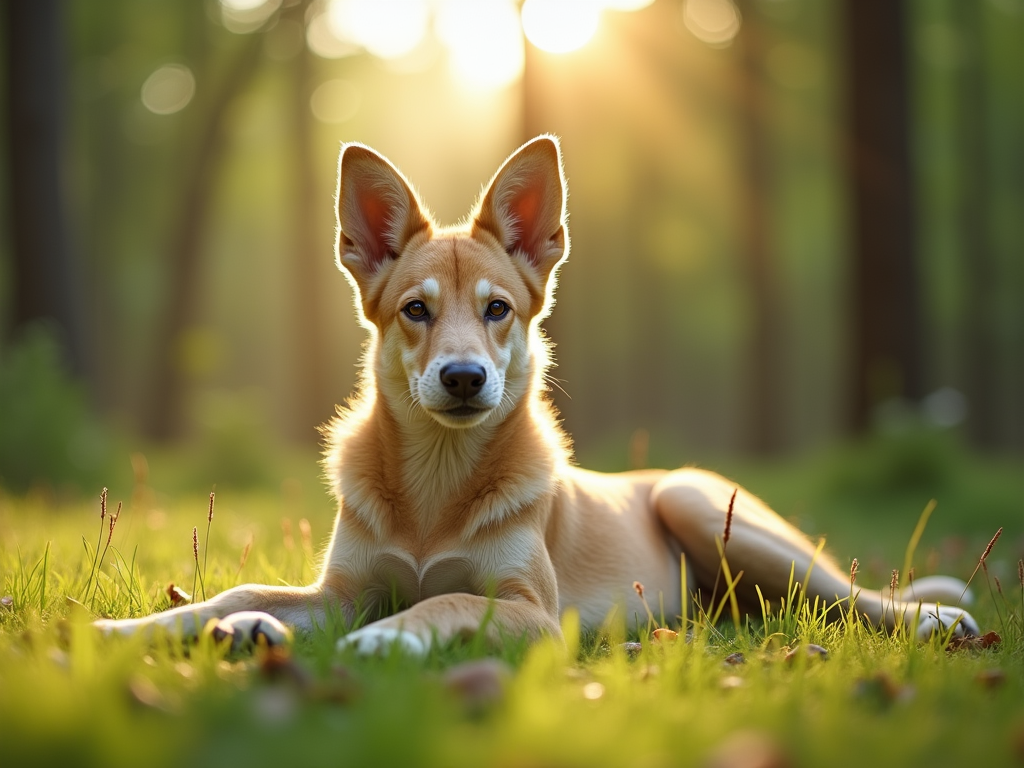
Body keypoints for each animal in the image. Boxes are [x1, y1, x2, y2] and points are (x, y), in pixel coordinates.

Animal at [94, 135, 974, 651]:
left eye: (497, 310)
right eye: (415, 310)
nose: (463, 377)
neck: (436, 486)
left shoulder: (529, 608)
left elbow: (440, 606)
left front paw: (384, 640)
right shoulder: (341, 590)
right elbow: (243, 590)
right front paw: (141, 623)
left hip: (709, 512)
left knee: (849, 597)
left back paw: (936, 619)